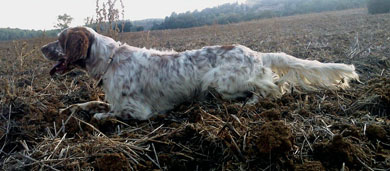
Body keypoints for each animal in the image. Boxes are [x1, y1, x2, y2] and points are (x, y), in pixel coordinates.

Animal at [40, 26, 360, 120]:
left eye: (59, 39)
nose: (42, 48)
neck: (111, 59)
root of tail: (256, 53)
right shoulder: (115, 100)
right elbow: (91, 103)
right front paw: (70, 108)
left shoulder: (139, 111)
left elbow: (105, 114)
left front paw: (93, 116)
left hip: (217, 82)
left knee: (272, 89)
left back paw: (249, 102)